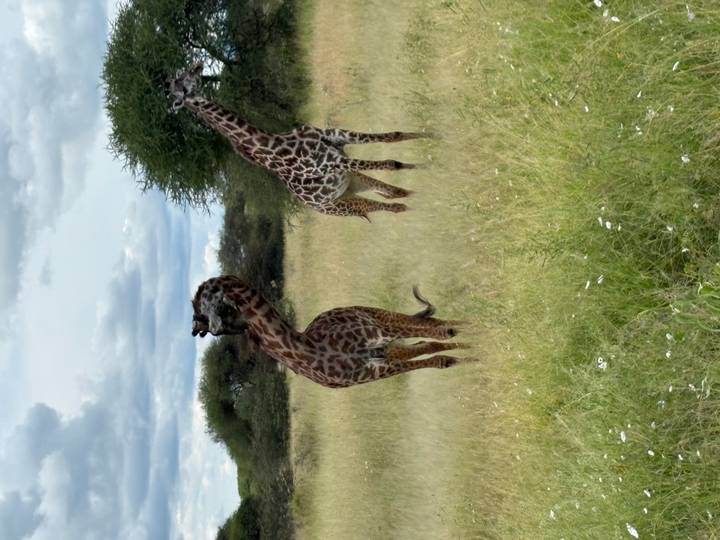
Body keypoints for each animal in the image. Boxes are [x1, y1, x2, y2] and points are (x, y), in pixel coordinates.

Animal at [167, 63, 429, 219]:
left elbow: (393, 136)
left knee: (392, 195)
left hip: (352, 184)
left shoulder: (338, 140)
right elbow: (391, 163)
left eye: (184, 75)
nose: (198, 65)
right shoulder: (331, 162)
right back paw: (414, 204)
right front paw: (426, 165)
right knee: (389, 205)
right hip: (339, 205)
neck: (274, 144)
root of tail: (316, 207)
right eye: (179, 85)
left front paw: (428, 136)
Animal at [191, 276, 473, 388]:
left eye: (203, 311)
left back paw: (467, 328)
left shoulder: (379, 340)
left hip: (381, 320)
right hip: (388, 339)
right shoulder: (378, 368)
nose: (201, 330)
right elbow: (435, 352)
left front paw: (474, 344)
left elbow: (440, 335)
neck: (308, 349)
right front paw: (468, 355)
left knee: (434, 328)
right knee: (430, 339)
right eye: (209, 332)